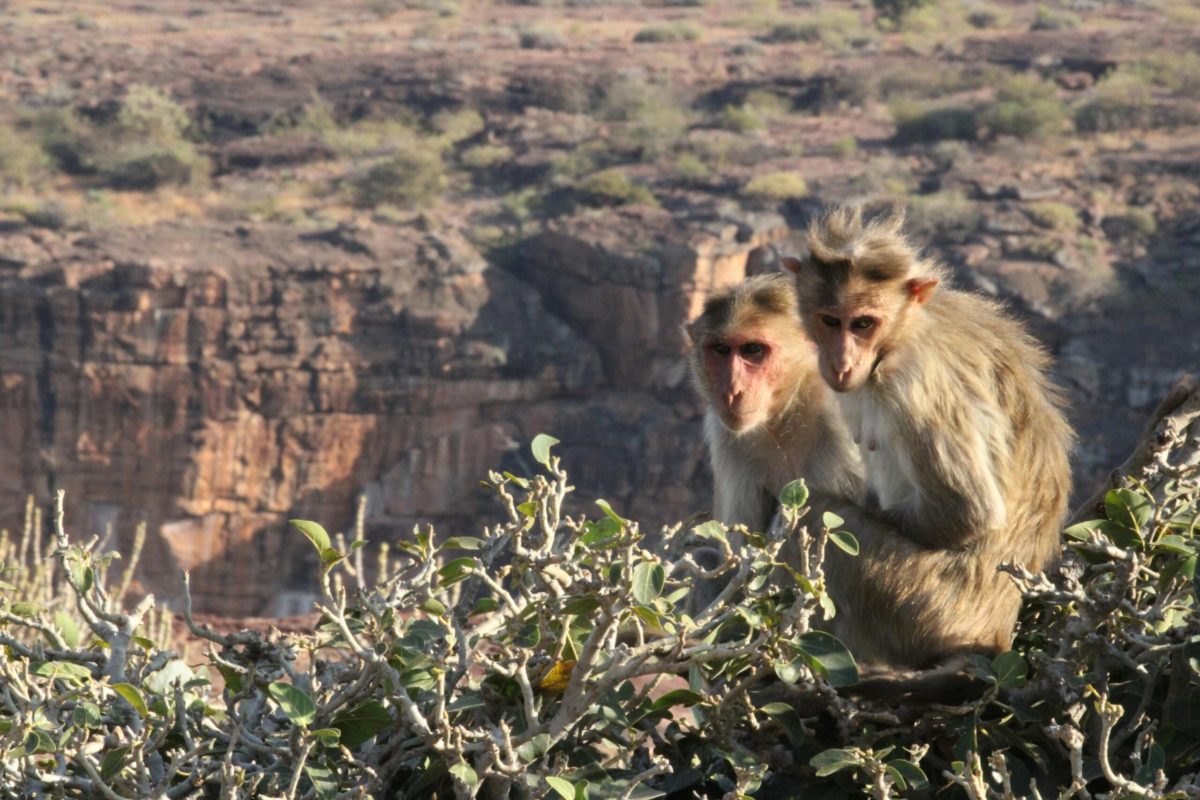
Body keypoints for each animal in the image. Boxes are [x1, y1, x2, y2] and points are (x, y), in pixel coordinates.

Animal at [782, 208, 1075, 676]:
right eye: (830, 320)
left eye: (863, 324)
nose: (842, 363)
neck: (902, 333)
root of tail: (995, 634)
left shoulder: (914, 381)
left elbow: (968, 511)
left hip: (925, 605)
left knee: (817, 515)